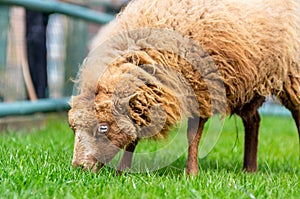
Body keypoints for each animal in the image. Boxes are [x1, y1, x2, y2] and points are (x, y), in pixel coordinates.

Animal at [68, 0, 300, 175]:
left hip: (292, 75)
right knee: (253, 121)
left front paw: (191, 174)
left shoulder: (201, 88)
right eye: (73, 128)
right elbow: (133, 136)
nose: (79, 168)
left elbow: (192, 136)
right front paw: (122, 171)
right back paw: (249, 170)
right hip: (249, 81)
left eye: (103, 128)